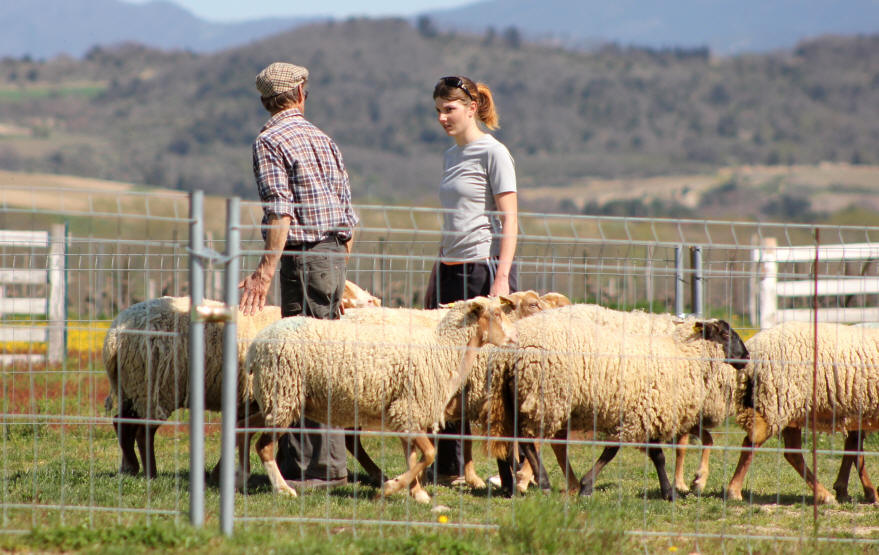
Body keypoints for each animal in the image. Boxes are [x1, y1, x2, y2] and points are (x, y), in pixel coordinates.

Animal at [237, 296, 520, 504]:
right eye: (496, 314)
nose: (515, 339)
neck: (443, 349)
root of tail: (256, 345)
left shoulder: (406, 415)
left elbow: (412, 456)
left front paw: (417, 493)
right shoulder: (408, 409)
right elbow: (428, 454)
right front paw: (391, 487)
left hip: (275, 399)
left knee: (243, 427)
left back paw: (241, 475)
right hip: (283, 394)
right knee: (263, 446)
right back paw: (283, 489)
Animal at [482, 306, 748, 502]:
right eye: (725, 334)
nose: (745, 357)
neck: (683, 355)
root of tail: (509, 350)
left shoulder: (646, 412)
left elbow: (655, 454)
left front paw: (670, 490)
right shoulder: (641, 413)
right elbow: (621, 451)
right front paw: (587, 486)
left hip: (522, 397)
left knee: (519, 437)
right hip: (546, 395)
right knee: (528, 439)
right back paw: (544, 483)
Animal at [724, 322, 879, 508]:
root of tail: (752, 348)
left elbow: (854, 447)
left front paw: (850, 490)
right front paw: (866, 493)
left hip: (789, 409)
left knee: (792, 452)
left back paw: (826, 494)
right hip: (776, 401)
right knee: (752, 442)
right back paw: (734, 492)